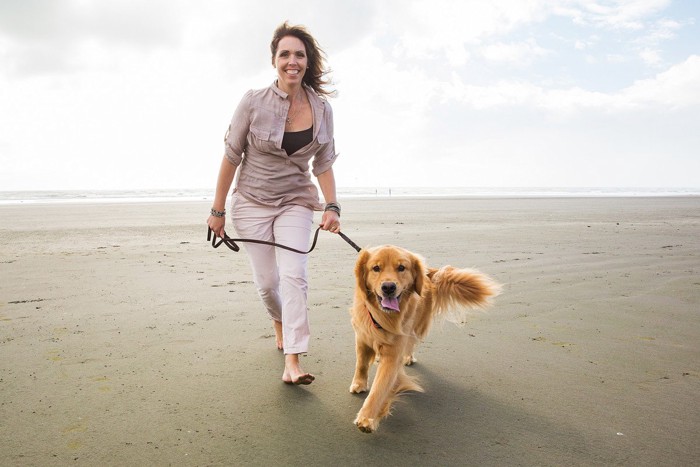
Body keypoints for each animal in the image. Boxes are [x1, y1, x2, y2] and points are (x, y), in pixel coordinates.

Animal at [348, 247, 498, 434]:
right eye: (376, 268)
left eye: (401, 268)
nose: (388, 287)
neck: (383, 317)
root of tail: (428, 272)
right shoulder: (361, 337)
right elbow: (361, 364)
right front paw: (358, 384)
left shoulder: (393, 353)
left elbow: (379, 387)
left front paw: (367, 418)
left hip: (417, 325)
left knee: (411, 343)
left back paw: (408, 357)